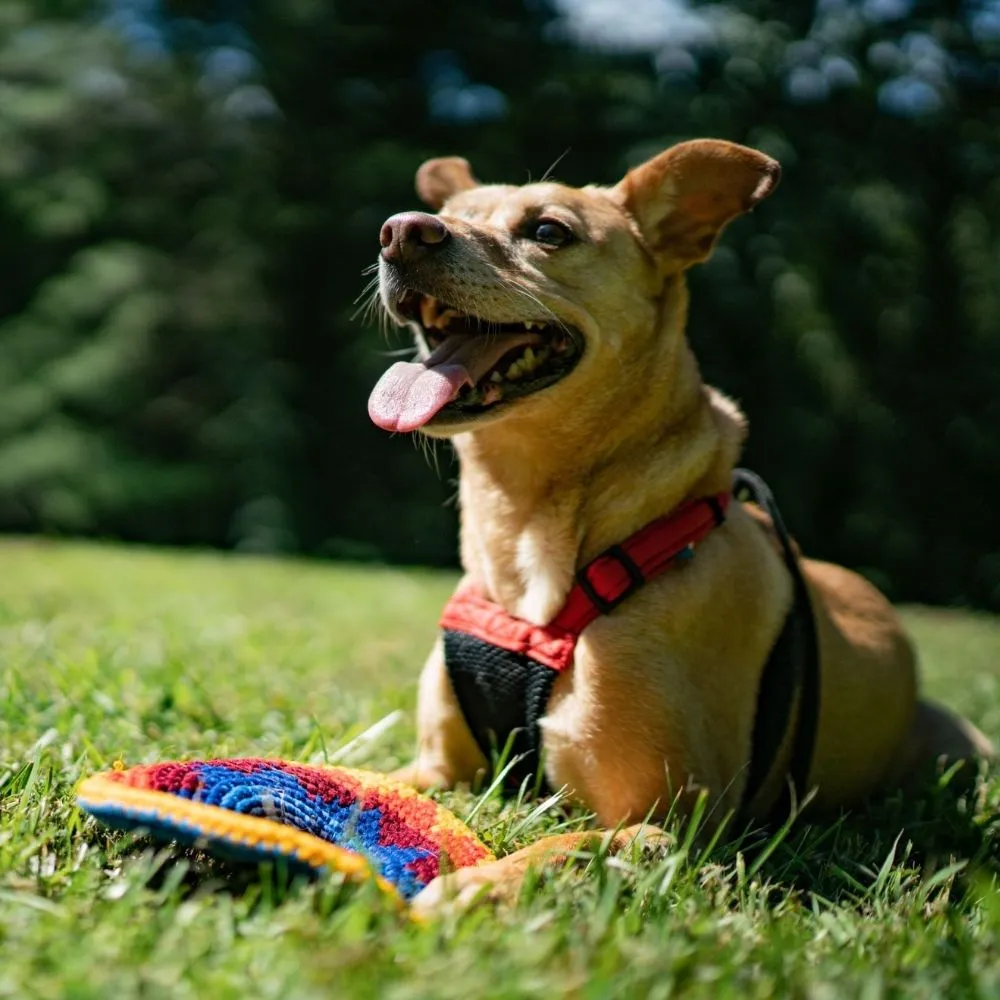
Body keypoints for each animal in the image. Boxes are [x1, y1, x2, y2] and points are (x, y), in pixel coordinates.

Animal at [366, 139, 992, 916]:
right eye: (450, 213)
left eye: (548, 231)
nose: (400, 232)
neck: (525, 532)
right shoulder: (436, 769)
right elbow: (351, 775)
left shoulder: (668, 818)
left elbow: (560, 848)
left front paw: (473, 885)